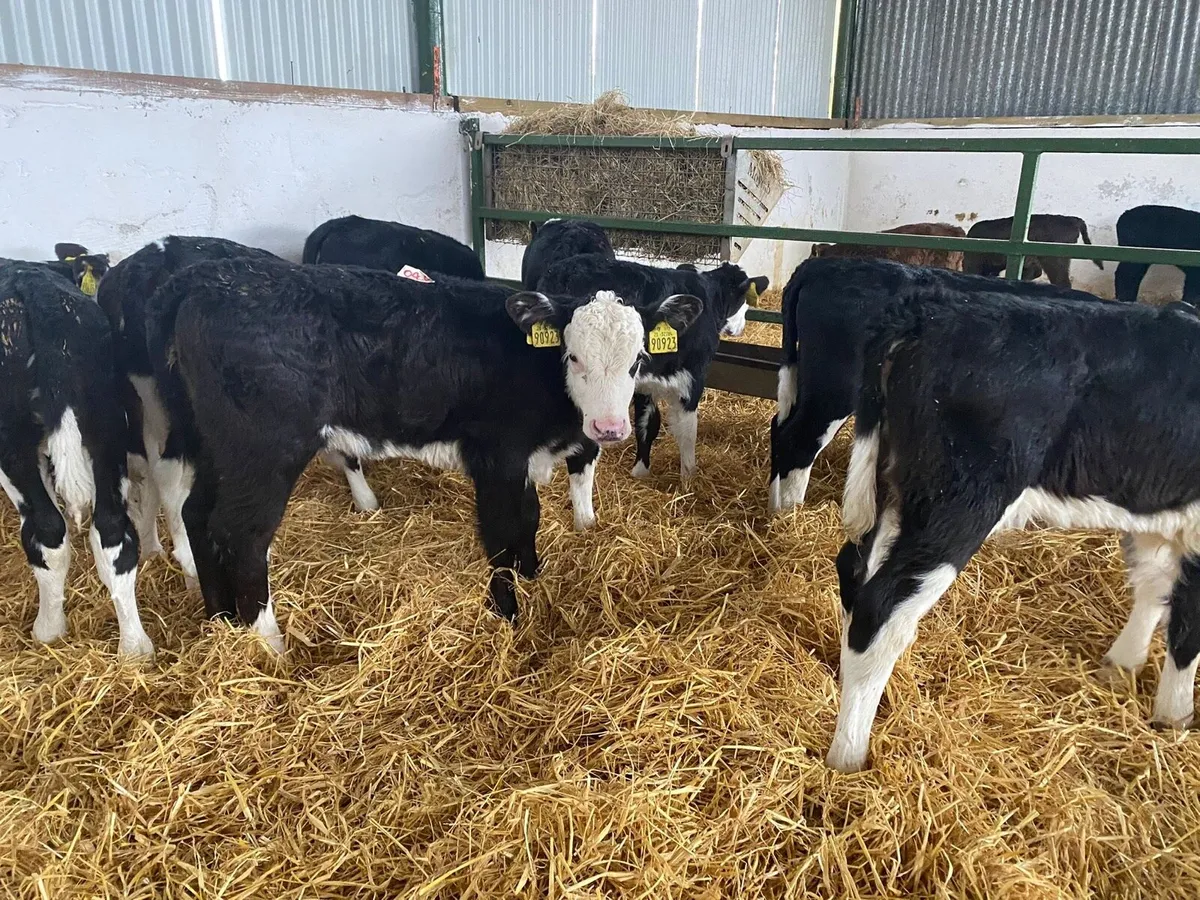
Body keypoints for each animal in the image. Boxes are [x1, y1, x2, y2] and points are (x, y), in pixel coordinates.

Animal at [0, 263, 152, 657]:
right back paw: (134, 646)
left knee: (47, 531)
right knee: (113, 532)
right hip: (108, 425)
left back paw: (48, 629)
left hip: (12, 447)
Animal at [150, 258, 701, 638]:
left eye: (637, 358)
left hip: (215, 447)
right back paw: (269, 645)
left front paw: (533, 577)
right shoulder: (496, 457)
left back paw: (220, 619)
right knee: (242, 535)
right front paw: (508, 614)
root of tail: (204, 280)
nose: (608, 428)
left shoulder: (523, 460)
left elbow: (529, 520)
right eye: (573, 355)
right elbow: (502, 532)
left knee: (197, 514)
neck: (532, 367)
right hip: (264, 454)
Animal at [538, 256, 766, 482]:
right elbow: (688, 432)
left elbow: (646, 424)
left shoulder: (642, 383)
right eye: (743, 300)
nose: (738, 328)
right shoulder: (695, 378)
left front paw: (641, 471)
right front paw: (689, 479)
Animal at [825, 274, 1200, 773]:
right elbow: (1187, 621)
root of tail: (927, 309)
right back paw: (849, 756)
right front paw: (1175, 716)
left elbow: (1153, 585)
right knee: (880, 609)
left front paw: (1122, 666)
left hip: (897, 488)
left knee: (855, 570)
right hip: (960, 502)